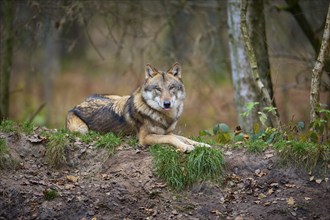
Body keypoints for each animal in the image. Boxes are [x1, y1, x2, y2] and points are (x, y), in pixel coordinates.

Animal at [66, 62, 210, 151]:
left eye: (171, 88)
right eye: (158, 89)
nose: (167, 103)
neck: (164, 117)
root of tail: (78, 104)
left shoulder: (168, 131)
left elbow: (184, 138)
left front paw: (203, 145)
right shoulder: (145, 138)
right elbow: (171, 138)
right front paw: (186, 147)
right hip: (82, 130)